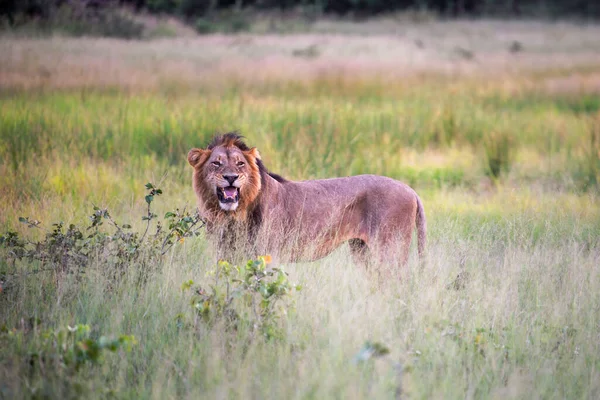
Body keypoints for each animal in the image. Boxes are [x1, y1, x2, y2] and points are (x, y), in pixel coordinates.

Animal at [188, 133, 426, 268]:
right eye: (216, 163)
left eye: (240, 164)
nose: (231, 177)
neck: (234, 215)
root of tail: (411, 190)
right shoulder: (225, 254)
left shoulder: (267, 255)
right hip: (362, 250)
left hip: (390, 249)